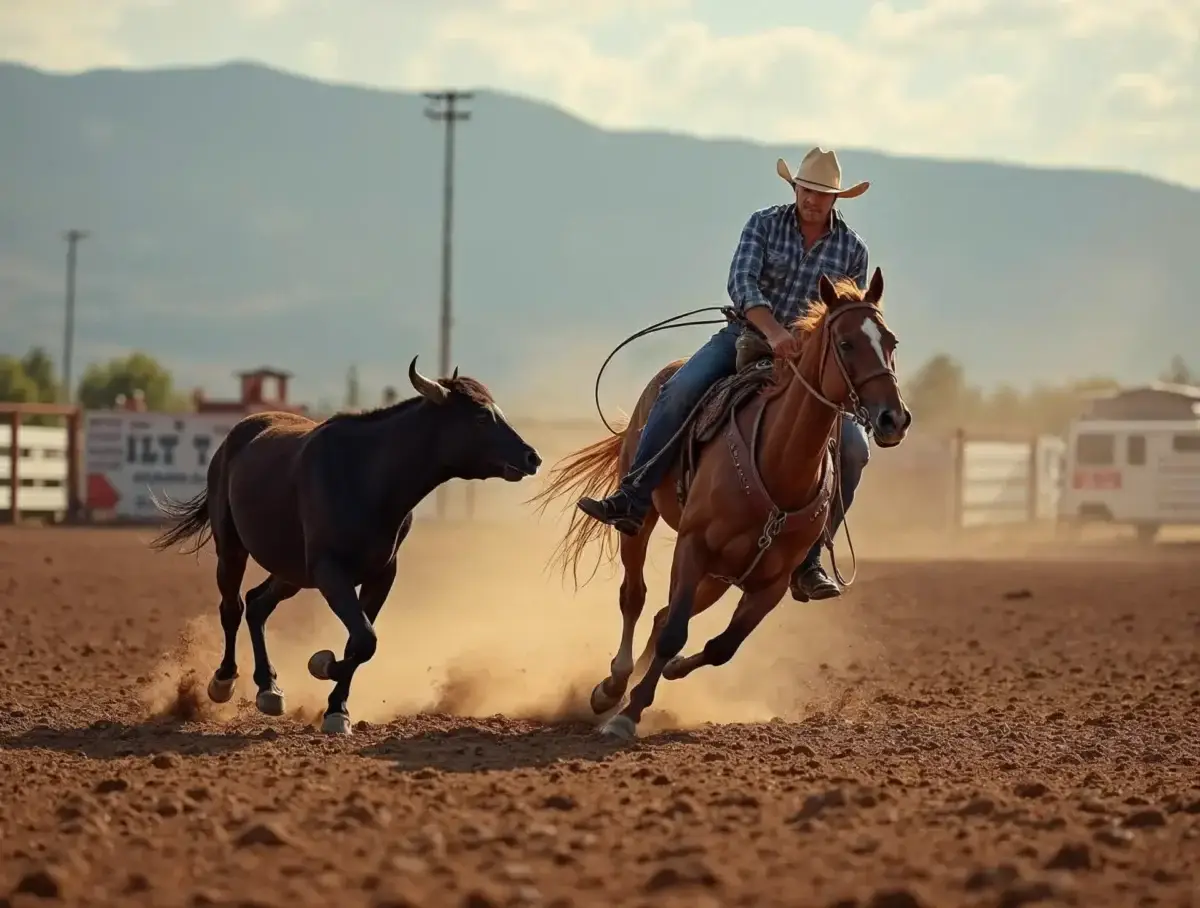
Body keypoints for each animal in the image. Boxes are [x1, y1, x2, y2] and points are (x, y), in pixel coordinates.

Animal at [149, 357, 542, 735]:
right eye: (480, 415)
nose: (531, 457)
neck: (368, 477)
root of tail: (239, 433)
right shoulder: (331, 573)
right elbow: (364, 639)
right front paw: (322, 666)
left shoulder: (381, 575)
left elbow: (360, 642)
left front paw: (336, 708)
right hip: (232, 549)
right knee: (232, 606)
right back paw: (224, 681)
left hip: (292, 573)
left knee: (258, 605)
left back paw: (269, 688)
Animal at [531, 270, 910, 740]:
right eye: (846, 344)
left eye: (891, 341)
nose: (894, 418)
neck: (779, 463)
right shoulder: (693, 546)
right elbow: (675, 632)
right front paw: (626, 714)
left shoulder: (771, 583)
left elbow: (720, 647)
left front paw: (666, 676)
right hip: (646, 521)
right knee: (635, 597)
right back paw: (611, 686)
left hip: (721, 575)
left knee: (661, 616)